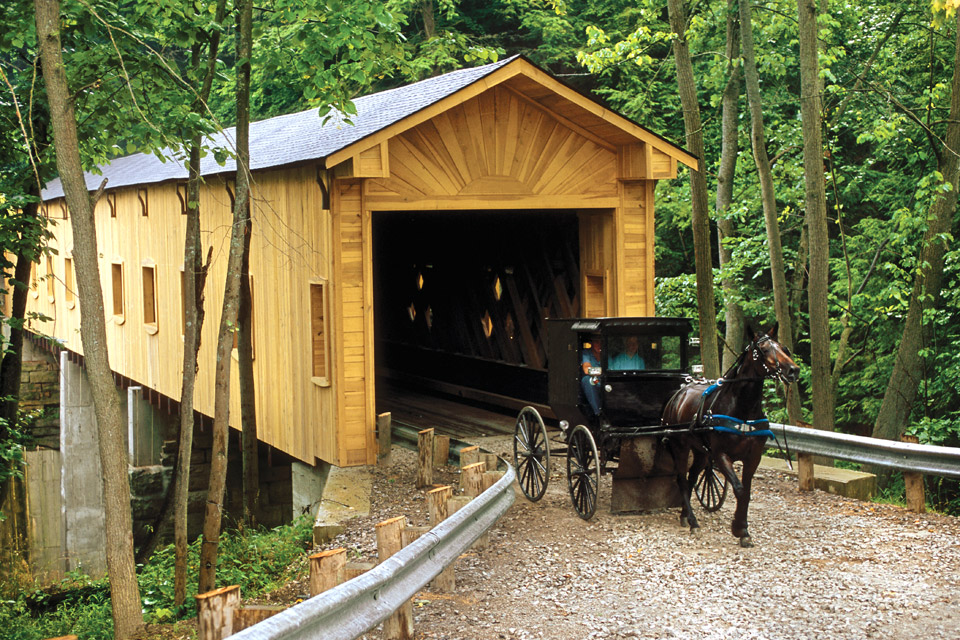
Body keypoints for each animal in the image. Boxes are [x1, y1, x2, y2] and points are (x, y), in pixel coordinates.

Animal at [660, 322, 804, 548]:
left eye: (784, 348)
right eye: (763, 350)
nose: (793, 370)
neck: (742, 410)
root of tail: (679, 394)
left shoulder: (753, 457)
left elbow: (747, 491)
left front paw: (743, 529)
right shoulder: (721, 455)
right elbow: (739, 488)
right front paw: (738, 528)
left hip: (701, 452)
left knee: (692, 479)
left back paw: (685, 515)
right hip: (680, 446)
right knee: (682, 479)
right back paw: (692, 521)